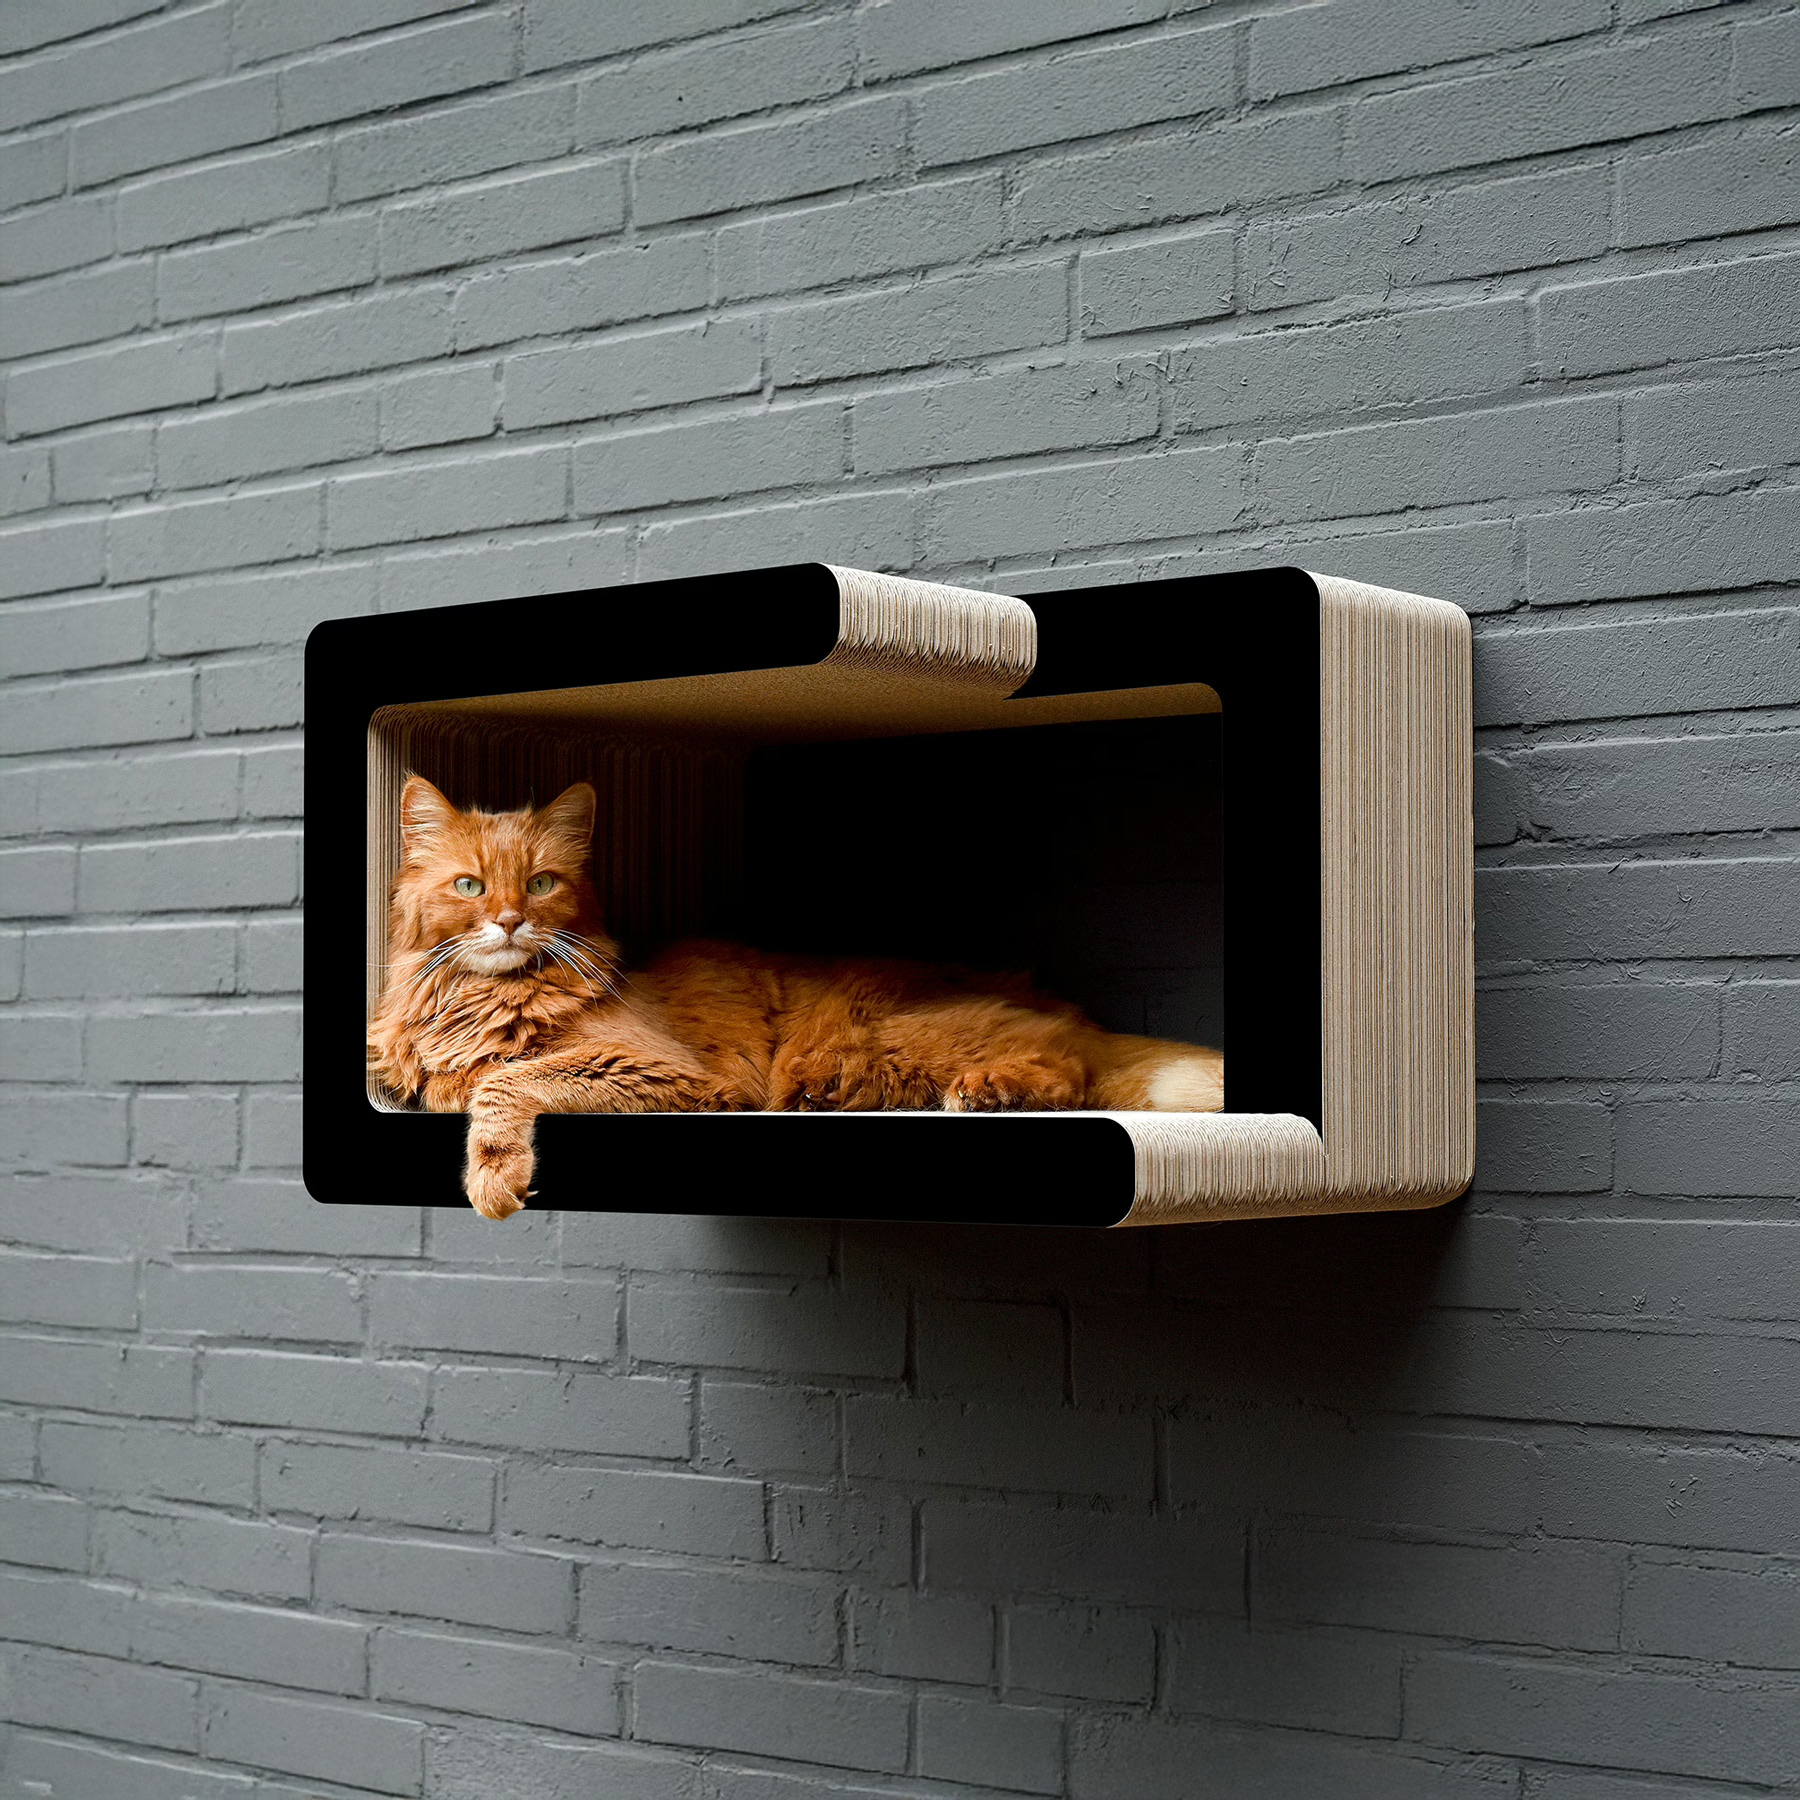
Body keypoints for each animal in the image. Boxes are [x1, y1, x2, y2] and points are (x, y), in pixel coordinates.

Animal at [368, 777, 1225, 1218]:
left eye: (542, 883)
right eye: (471, 887)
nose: (511, 920)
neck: (478, 1002)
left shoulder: (667, 1073)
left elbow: (506, 1082)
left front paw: (494, 1176)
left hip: (889, 1035)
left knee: (1068, 1070)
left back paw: (992, 1093)